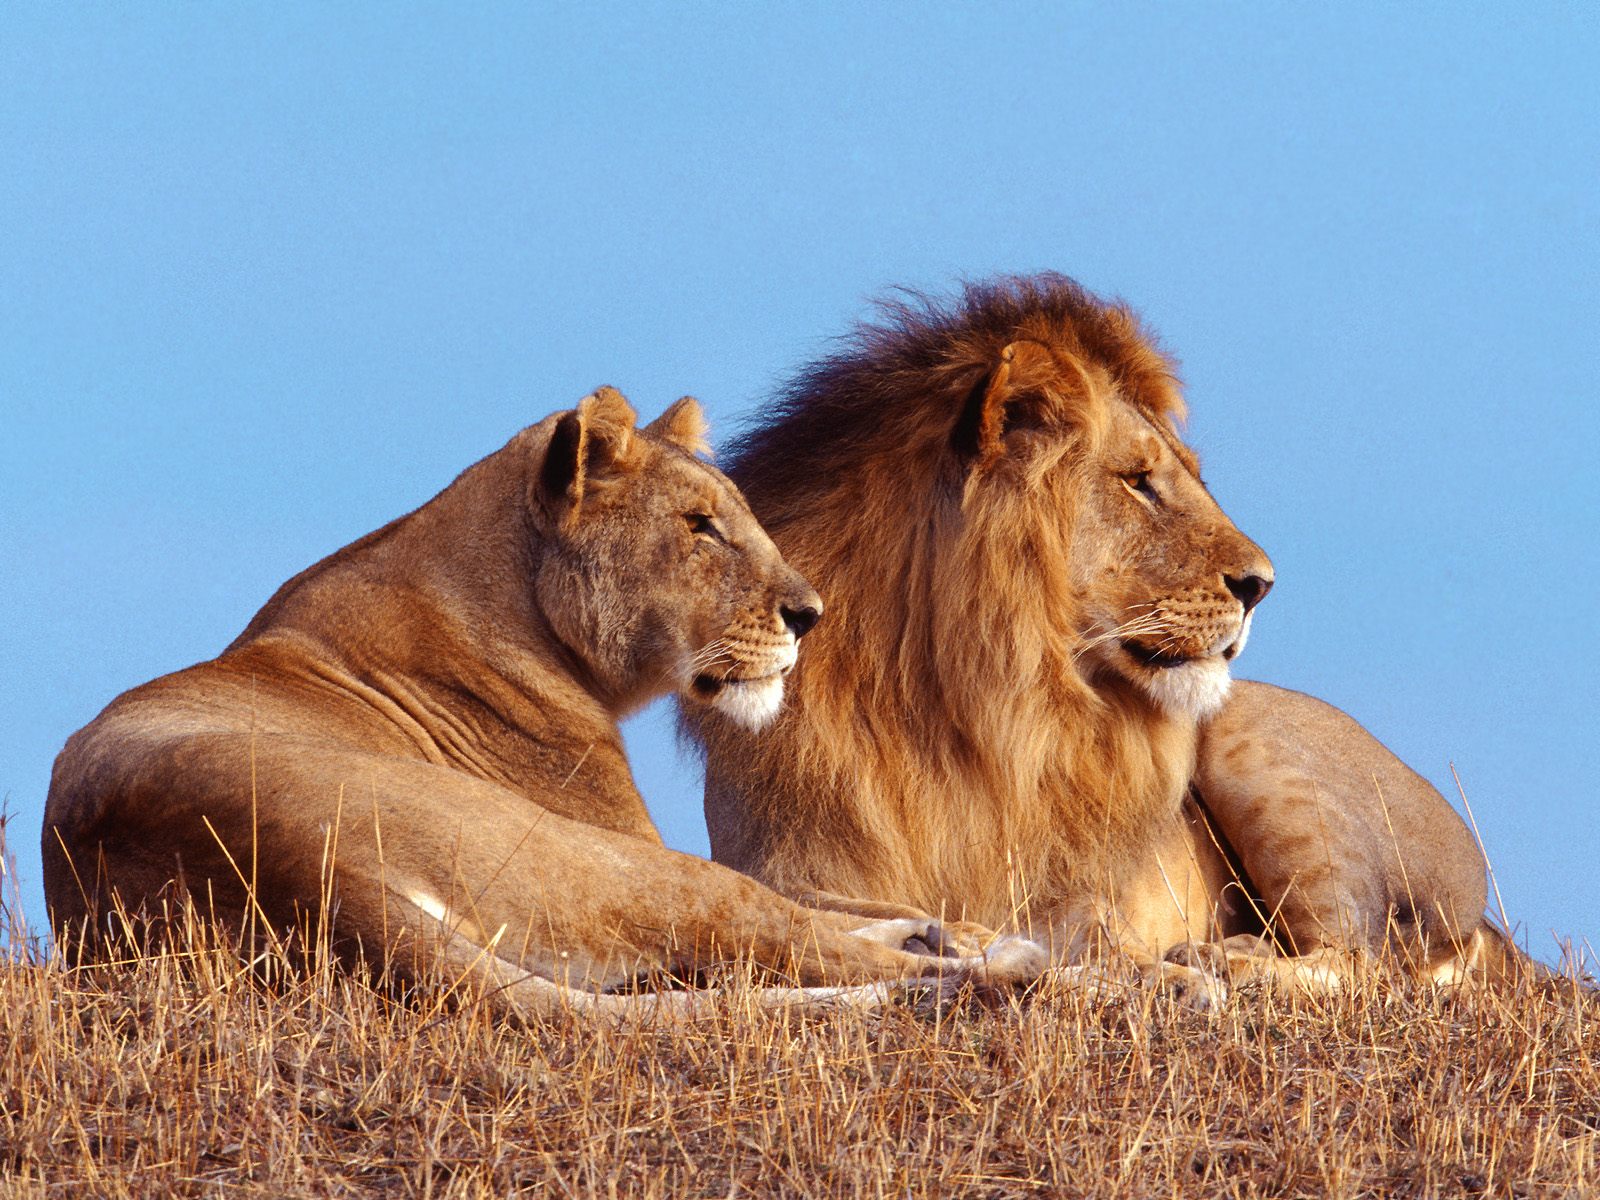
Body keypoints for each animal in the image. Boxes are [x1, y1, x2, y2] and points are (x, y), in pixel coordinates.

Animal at [43, 390, 1043, 1017]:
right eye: (698, 527)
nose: (812, 613)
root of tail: (301, 874)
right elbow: (803, 908)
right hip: (604, 863)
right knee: (783, 936)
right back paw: (996, 964)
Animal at [691, 275, 1510, 998]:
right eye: (1138, 480)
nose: (1262, 583)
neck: (959, 702)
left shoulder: (1079, 894)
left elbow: (1091, 938)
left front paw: (1148, 975)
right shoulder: (776, 863)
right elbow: (828, 910)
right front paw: (951, 940)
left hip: (1253, 743)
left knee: (1362, 961)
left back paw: (1227, 962)